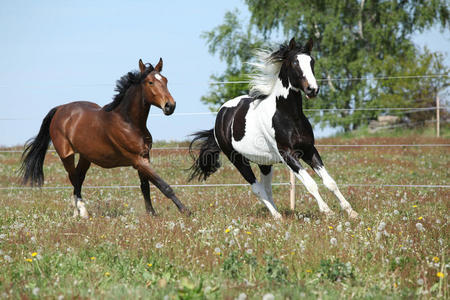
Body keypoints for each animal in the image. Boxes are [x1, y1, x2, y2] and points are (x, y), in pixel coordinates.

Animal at [19, 58, 190, 218]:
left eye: (165, 80)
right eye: (150, 82)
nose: (170, 106)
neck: (128, 122)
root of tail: (60, 108)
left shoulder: (144, 157)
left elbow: (145, 186)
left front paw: (151, 214)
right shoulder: (137, 160)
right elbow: (163, 185)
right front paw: (186, 211)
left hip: (85, 157)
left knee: (78, 178)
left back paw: (77, 212)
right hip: (66, 155)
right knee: (73, 178)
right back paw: (82, 212)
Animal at [190, 38, 358, 220]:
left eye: (312, 61)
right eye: (294, 62)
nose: (312, 89)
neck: (289, 116)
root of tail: (221, 115)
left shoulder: (309, 150)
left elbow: (330, 182)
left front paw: (351, 211)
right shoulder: (288, 154)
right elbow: (311, 184)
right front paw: (327, 211)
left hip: (264, 163)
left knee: (267, 188)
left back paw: (278, 215)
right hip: (238, 160)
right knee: (257, 188)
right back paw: (277, 216)